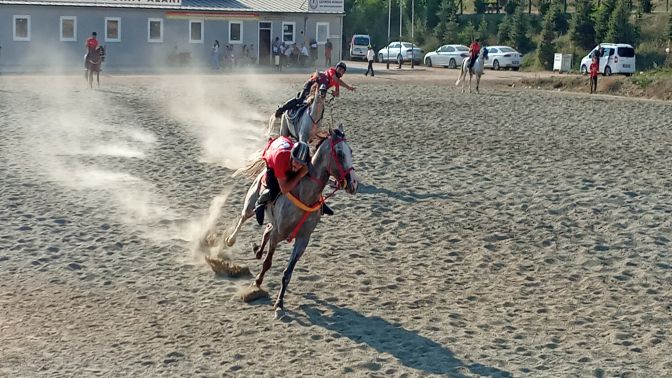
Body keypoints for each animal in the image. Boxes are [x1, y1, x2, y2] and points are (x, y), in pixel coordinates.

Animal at [224, 125, 356, 318]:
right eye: (339, 153)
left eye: (351, 151)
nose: (353, 183)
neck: (305, 194)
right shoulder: (278, 235)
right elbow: (268, 263)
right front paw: (257, 282)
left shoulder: (303, 240)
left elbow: (287, 273)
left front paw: (279, 303)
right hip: (251, 202)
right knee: (244, 217)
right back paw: (231, 240)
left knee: (267, 228)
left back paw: (258, 250)